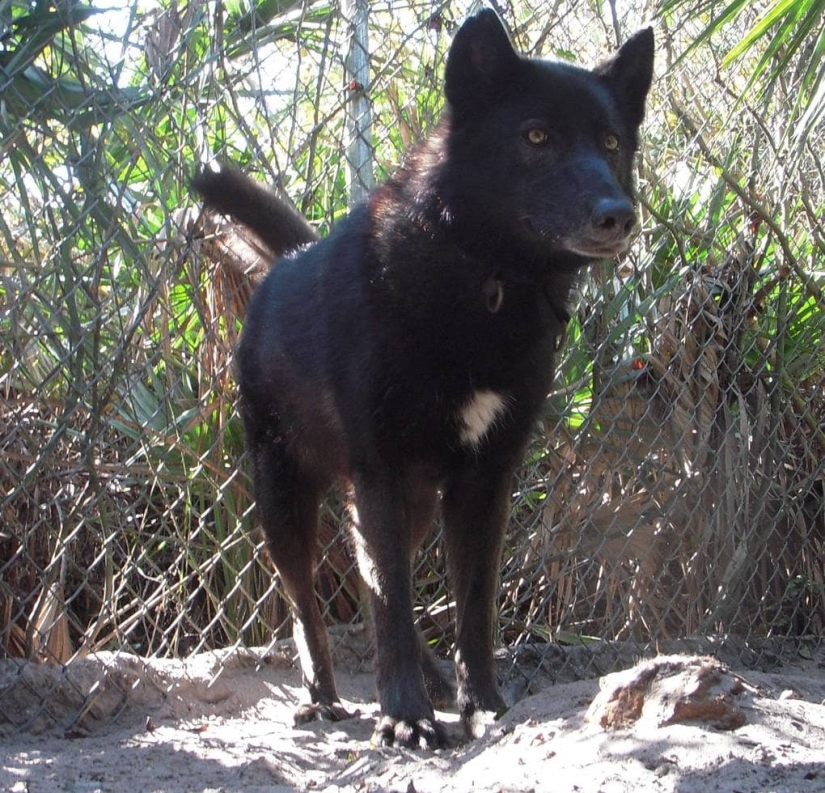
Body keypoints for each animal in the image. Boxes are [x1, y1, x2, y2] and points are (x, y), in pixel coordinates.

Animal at [193, 9, 653, 749]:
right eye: (536, 136)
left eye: (610, 141)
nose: (619, 214)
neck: (484, 280)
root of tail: (289, 260)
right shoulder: (381, 471)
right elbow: (390, 606)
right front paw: (405, 716)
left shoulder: (485, 480)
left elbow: (471, 607)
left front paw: (483, 705)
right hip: (285, 497)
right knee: (308, 602)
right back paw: (324, 696)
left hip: (405, 507)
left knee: (375, 581)